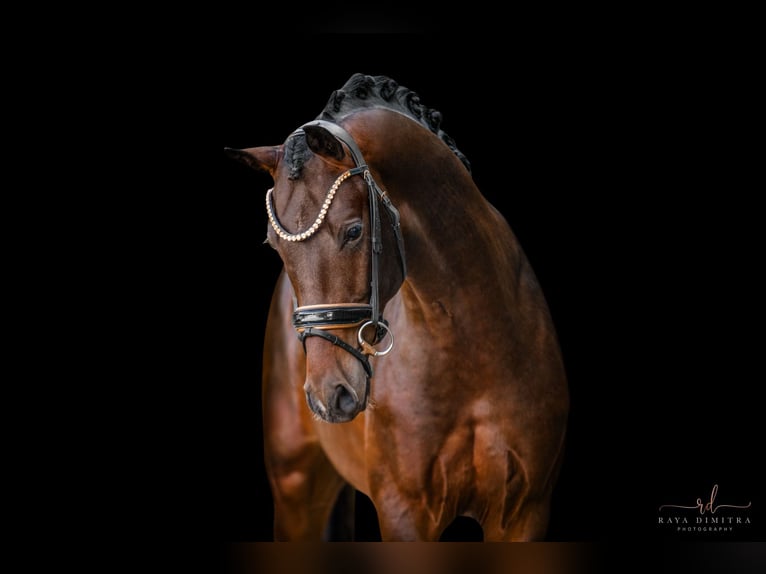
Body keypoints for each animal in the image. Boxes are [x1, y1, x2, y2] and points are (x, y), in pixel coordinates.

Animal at [225, 73, 569, 541]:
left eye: (353, 231)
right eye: (274, 245)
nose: (328, 396)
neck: (476, 346)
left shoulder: (525, 514)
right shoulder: (404, 512)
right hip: (296, 487)